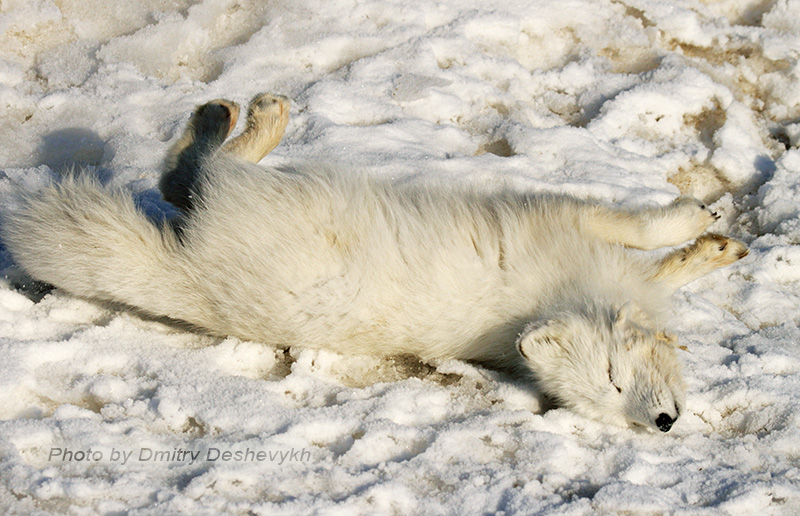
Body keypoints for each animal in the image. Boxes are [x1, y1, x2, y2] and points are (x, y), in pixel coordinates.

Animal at [1, 92, 752, 432]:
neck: (563, 292)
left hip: (219, 212)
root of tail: (192, 284)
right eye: (611, 389)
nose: (664, 425)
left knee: (177, 179)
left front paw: (714, 248)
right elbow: (639, 228)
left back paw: (218, 115)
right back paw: (252, 117)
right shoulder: (560, 220)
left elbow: (660, 263)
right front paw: (695, 220)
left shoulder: (598, 256)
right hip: (255, 199)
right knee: (204, 169)